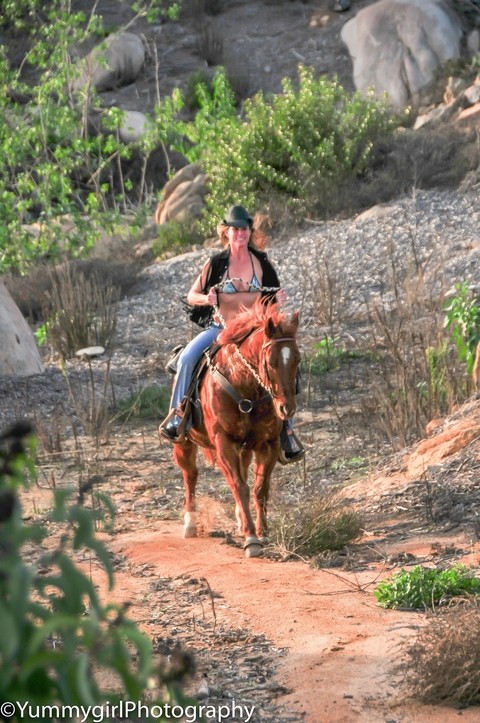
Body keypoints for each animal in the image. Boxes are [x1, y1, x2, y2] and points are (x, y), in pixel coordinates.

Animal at [172, 300, 300, 560]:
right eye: (270, 362)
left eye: (298, 360)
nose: (287, 408)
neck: (245, 386)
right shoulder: (224, 443)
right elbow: (239, 486)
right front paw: (251, 539)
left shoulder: (268, 444)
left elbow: (260, 488)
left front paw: (262, 532)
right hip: (184, 442)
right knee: (190, 475)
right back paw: (190, 522)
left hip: (246, 448)